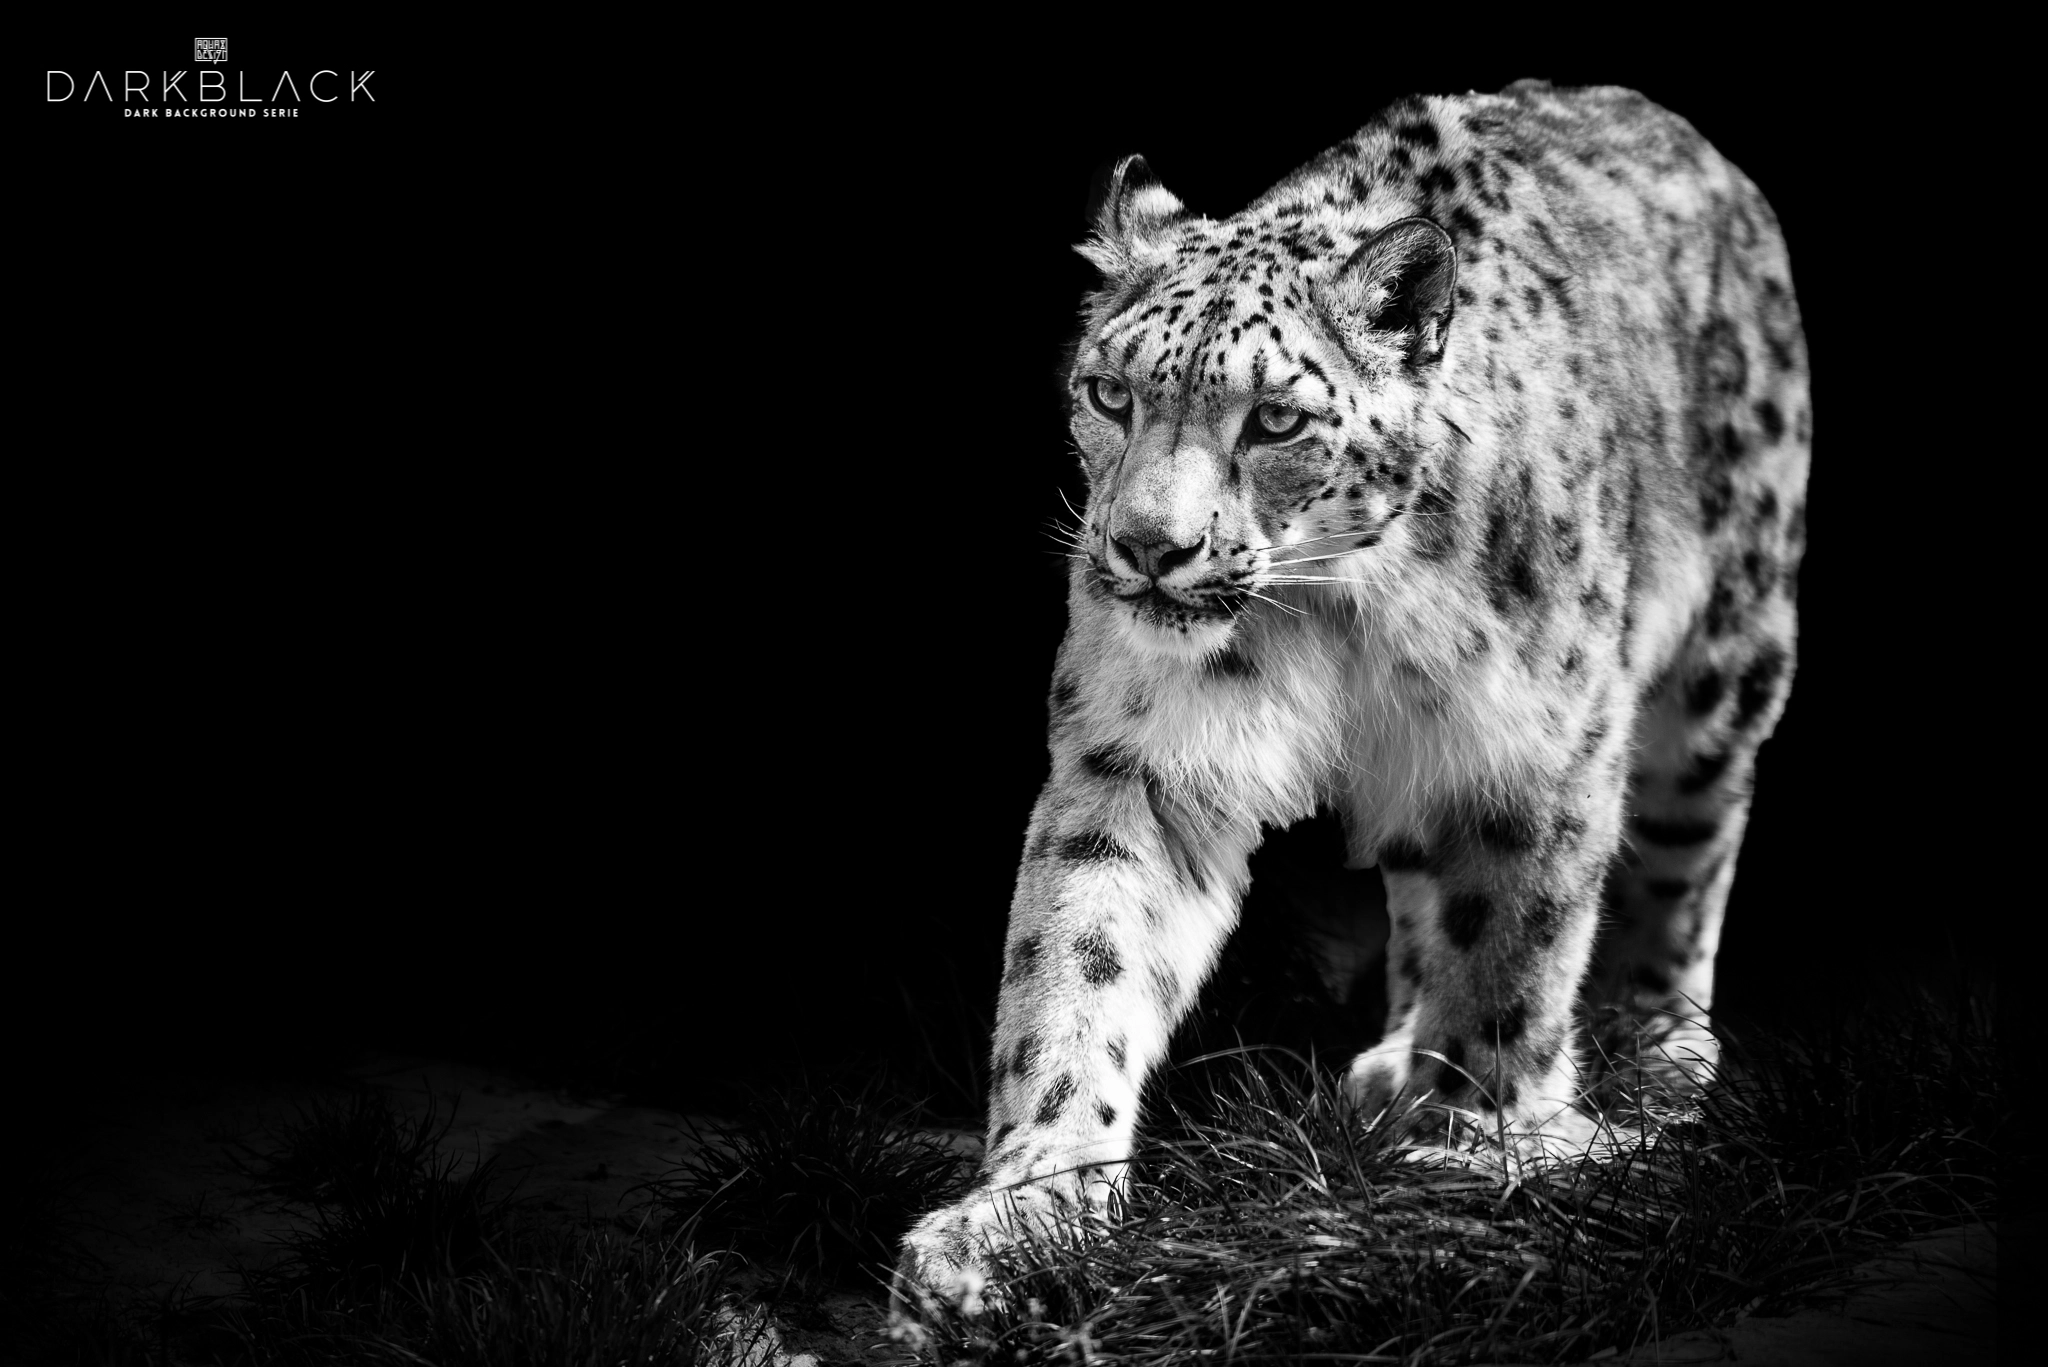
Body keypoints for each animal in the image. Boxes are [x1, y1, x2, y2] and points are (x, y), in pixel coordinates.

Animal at [892, 79, 1809, 1330]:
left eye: (1274, 420)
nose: (1146, 547)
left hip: (1727, 654)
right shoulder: (1136, 758)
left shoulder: (1534, 748)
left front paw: (1474, 1135)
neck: (1327, 611)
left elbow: (1513, 943)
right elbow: (1077, 960)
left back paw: (1654, 1048)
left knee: (1685, 845)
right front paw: (1025, 1209)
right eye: (1108, 392)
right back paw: (1389, 1064)